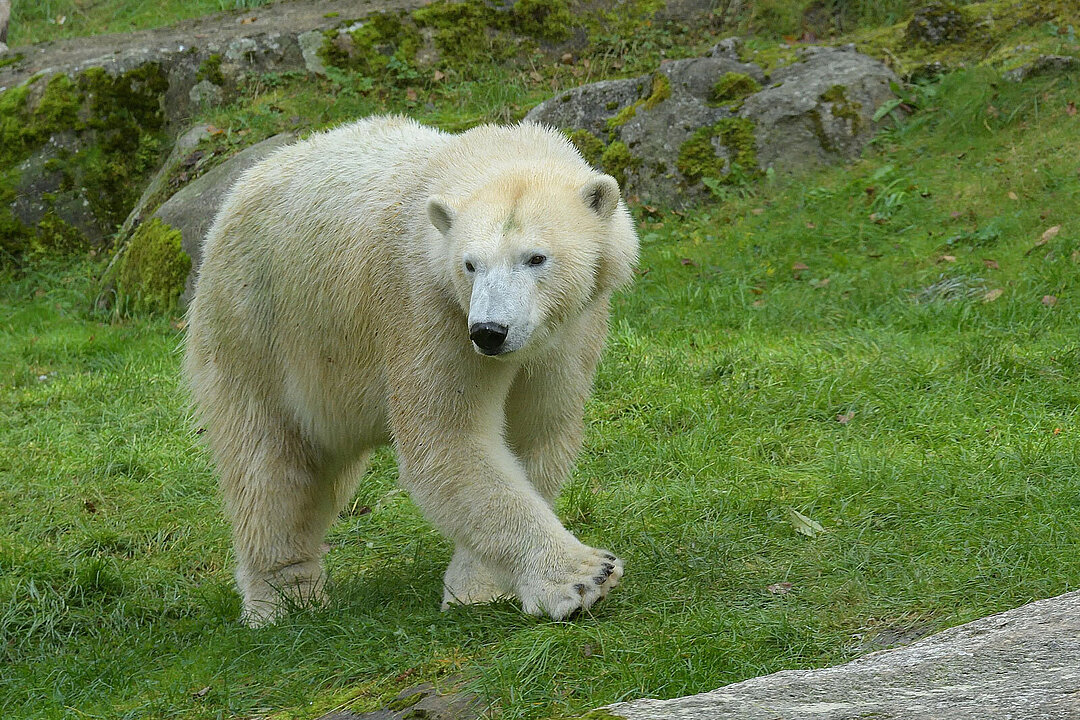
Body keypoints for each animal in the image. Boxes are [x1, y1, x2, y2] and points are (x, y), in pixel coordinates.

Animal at [185, 113, 639, 626]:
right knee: (269, 463)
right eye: (470, 264)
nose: (490, 331)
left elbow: (533, 433)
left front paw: (476, 589)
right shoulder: (429, 306)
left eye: (536, 257)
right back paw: (285, 599)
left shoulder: (571, 328)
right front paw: (584, 577)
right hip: (256, 322)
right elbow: (448, 440)